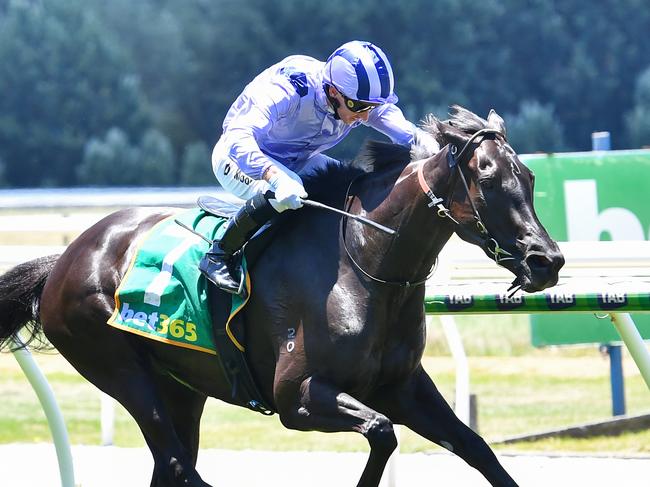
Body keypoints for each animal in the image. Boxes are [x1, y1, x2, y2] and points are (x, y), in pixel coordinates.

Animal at [0, 107, 560, 487]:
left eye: (530, 177)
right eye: (487, 177)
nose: (547, 260)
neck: (364, 263)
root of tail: (66, 259)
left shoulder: (401, 387)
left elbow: (474, 446)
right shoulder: (299, 396)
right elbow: (382, 432)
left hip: (181, 387)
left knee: (172, 464)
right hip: (119, 368)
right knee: (180, 465)